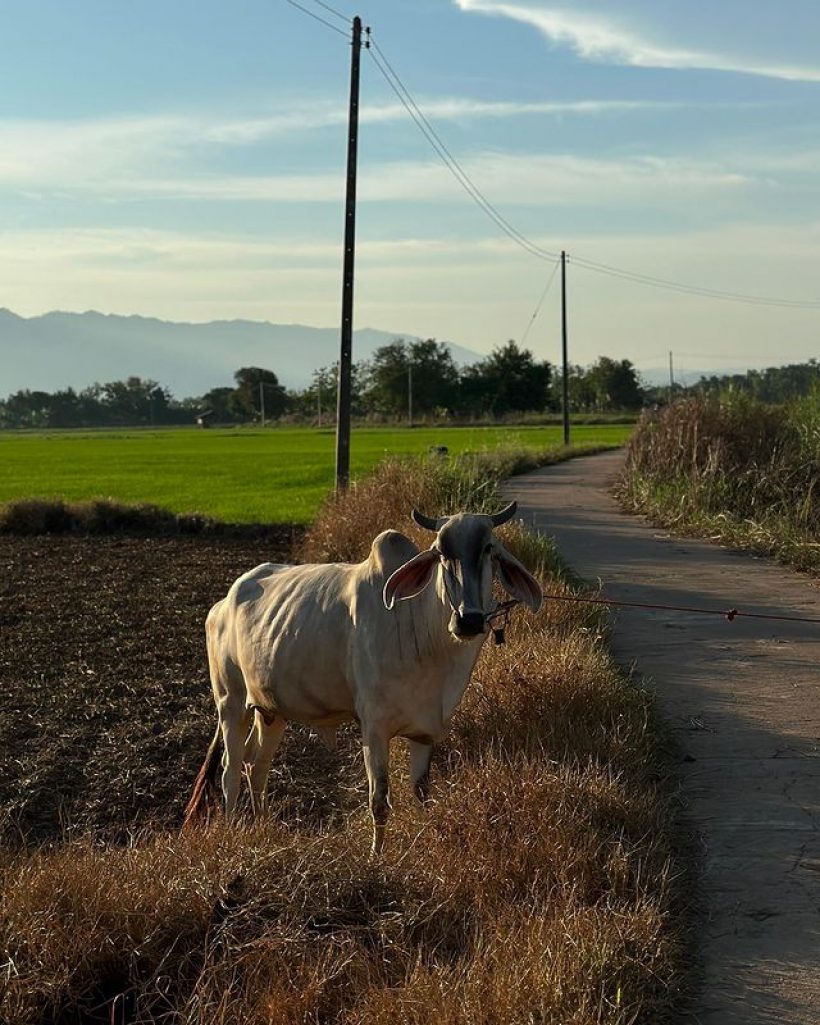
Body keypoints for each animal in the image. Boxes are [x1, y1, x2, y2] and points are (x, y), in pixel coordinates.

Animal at [185, 500, 545, 852]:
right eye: (440, 552)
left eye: (489, 549)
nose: (468, 620)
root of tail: (222, 604)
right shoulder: (373, 727)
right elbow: (379, 801)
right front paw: (377, 856)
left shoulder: (425, 731)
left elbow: (422, 795)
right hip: (231, 703)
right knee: (230, 768)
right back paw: (232, 829)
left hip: (271, 711)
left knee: (256, 764)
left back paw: (263, 824)